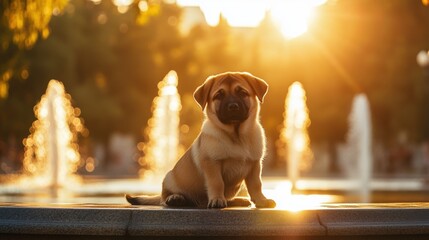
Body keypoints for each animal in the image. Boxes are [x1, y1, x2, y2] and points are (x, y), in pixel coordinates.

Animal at [125, 71, 276, 208]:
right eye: (219, 96)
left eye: (242, 93)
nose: (233, 106)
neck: (236, 135)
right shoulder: (212, 163)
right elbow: (217, 183)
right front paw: (217, 199)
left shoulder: (254, 164)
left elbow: (256, 185)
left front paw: (261, 200)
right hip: (169, 178)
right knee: (165, 198)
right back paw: (175, 199)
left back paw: (237, 200)